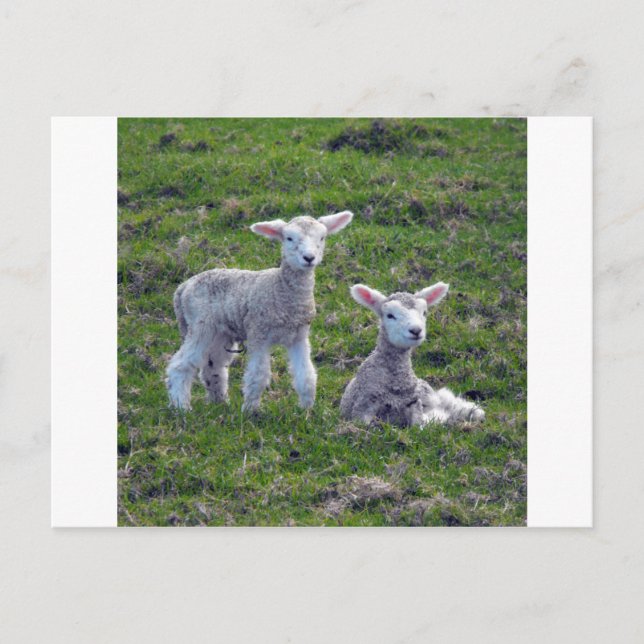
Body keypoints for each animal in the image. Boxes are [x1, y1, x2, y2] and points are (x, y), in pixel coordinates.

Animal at [166, 211, 354, 412]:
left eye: (322, 237)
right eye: (289, 238)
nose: (309, 258)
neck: (281, 290)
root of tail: (183, 287)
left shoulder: (299, 336)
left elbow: (306, 375)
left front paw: (307, 409)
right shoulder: (259, 333)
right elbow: (258, 375)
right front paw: (251, 410)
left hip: (221, 332)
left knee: (213, 367)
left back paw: (220, 402)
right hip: (200, 325)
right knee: (180, 365)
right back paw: (181, 406)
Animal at [340, 282, 485, 427]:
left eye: (424, 313)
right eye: (390, 315)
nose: (416, 330)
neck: (395, 381)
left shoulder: (414, 403)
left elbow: (419, 424)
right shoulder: (362, 407)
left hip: (426, 392)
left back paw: (473, 411)